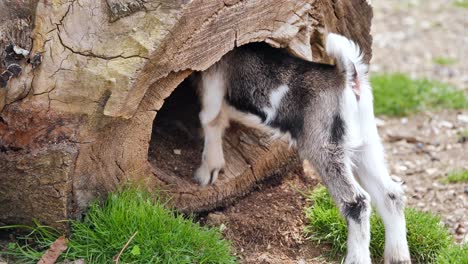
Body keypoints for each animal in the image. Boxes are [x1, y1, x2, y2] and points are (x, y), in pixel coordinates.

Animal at [194, 34, 410, 262]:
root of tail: (348, 77)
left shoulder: (213, 76)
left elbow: (210, 118)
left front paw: (206, 172)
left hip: (325, 149)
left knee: (356, 201)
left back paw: (356, 258)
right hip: (366, 146)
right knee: (391, 194)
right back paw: (398, 257)